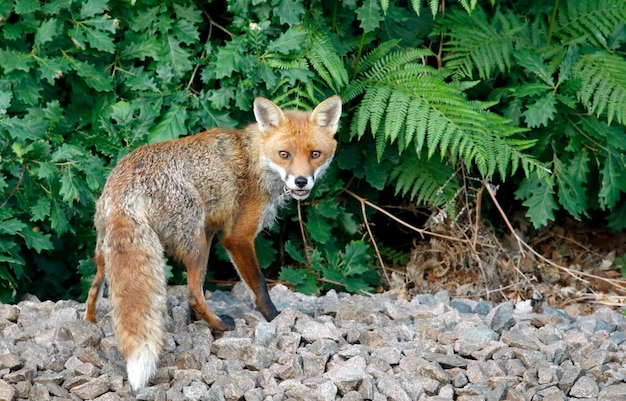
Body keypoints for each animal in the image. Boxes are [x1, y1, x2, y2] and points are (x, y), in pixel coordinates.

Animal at [83, 95, 342, 390]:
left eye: (315, 154)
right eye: (284, 154)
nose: (301, 181)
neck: (255, 159)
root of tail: (123, 186)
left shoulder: (210, 231)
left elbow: (204, 282)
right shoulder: (237, 237)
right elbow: (259, 285)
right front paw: (275, 318)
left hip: (111, 252)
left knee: (94, 291)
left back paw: (90, 324)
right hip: (193, 242)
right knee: (194, 295)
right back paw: (221, 325)